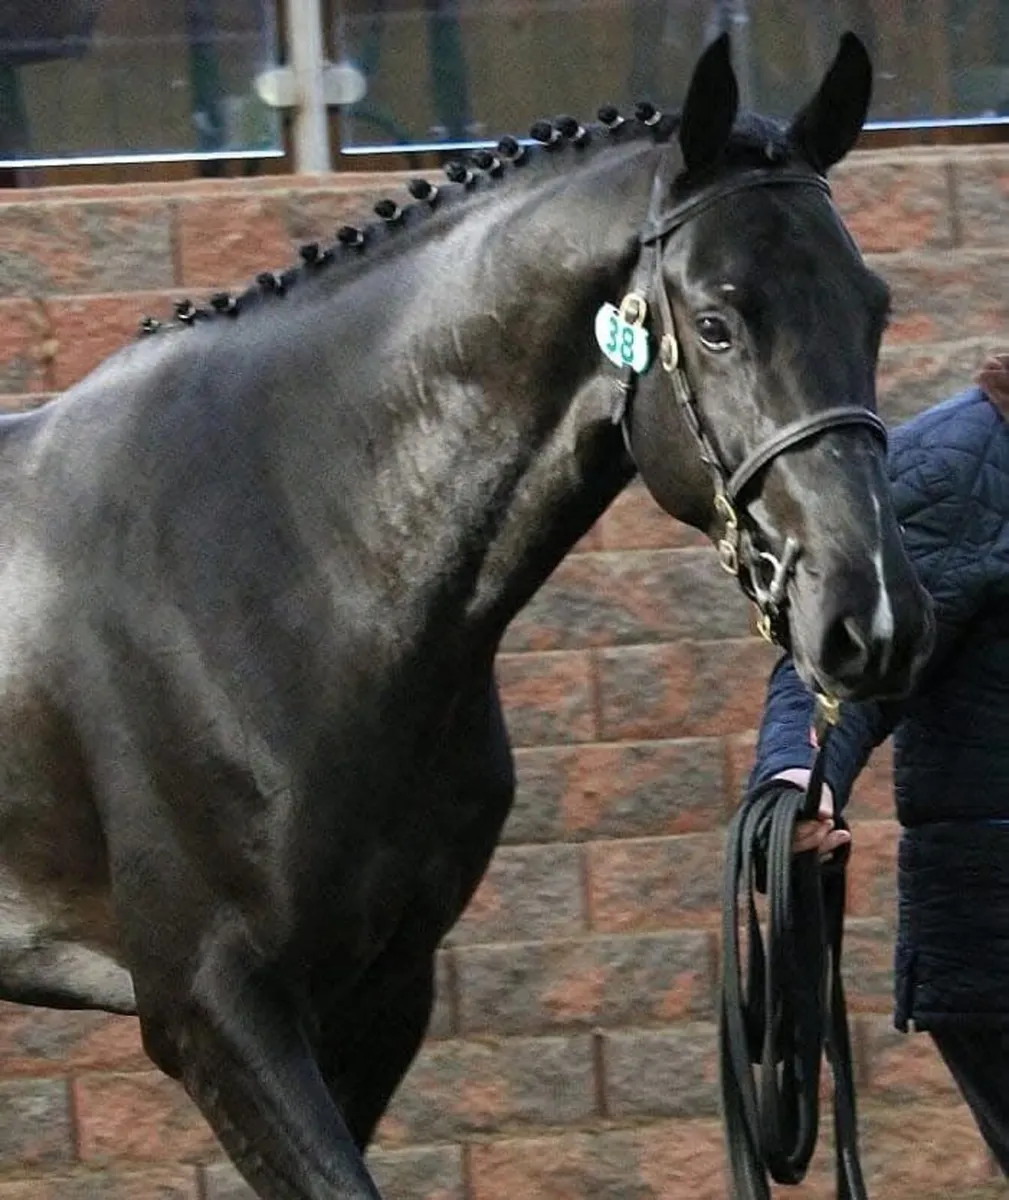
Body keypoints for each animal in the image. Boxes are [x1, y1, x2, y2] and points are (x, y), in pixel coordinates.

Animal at [0, 31, 933, 1199]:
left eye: (873, 306)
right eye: (717, 324)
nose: (873, 616)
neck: (282, 566)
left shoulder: (385, 988)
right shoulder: (214, 1012)